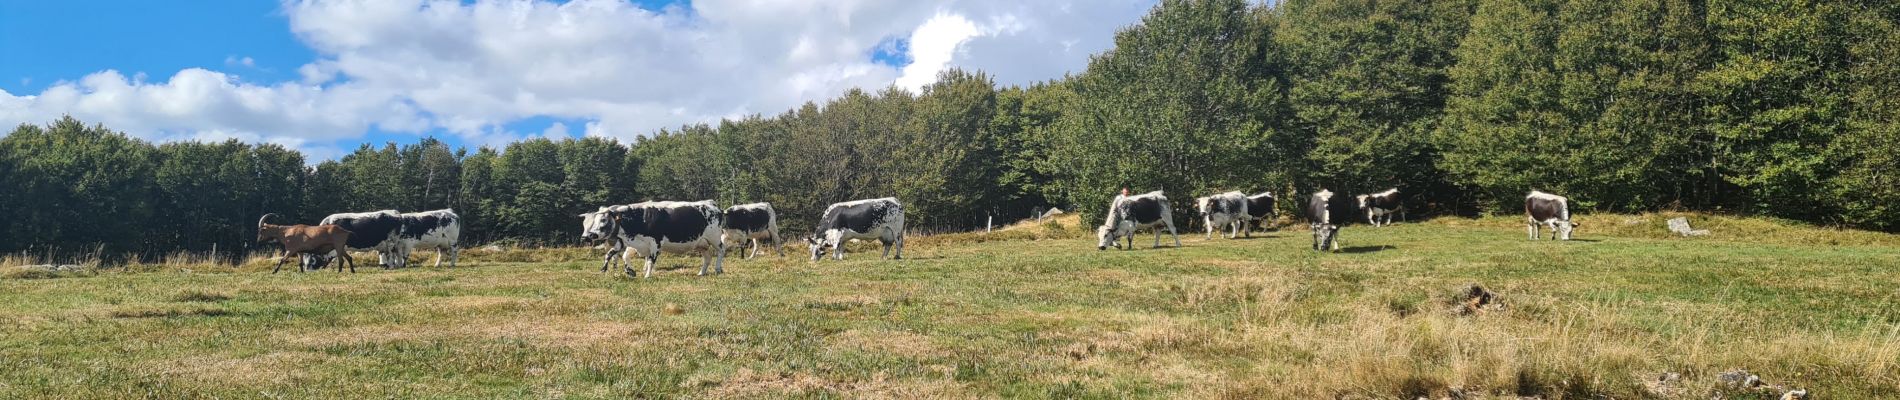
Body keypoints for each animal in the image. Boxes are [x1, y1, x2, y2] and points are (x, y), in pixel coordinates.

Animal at [573, 200, 722, 278]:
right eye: (594, 220)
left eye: (603, 220)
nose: (587, 236)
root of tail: (710, 204)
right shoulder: (627, 243)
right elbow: (614, 255)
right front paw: (627, 271)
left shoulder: (655, 243)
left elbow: (650, 261)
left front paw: (647, 275)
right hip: (701, 243)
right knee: (708, 257)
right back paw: (701, 272)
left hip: (715, 238)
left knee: (721, 251)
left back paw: (718, 269)